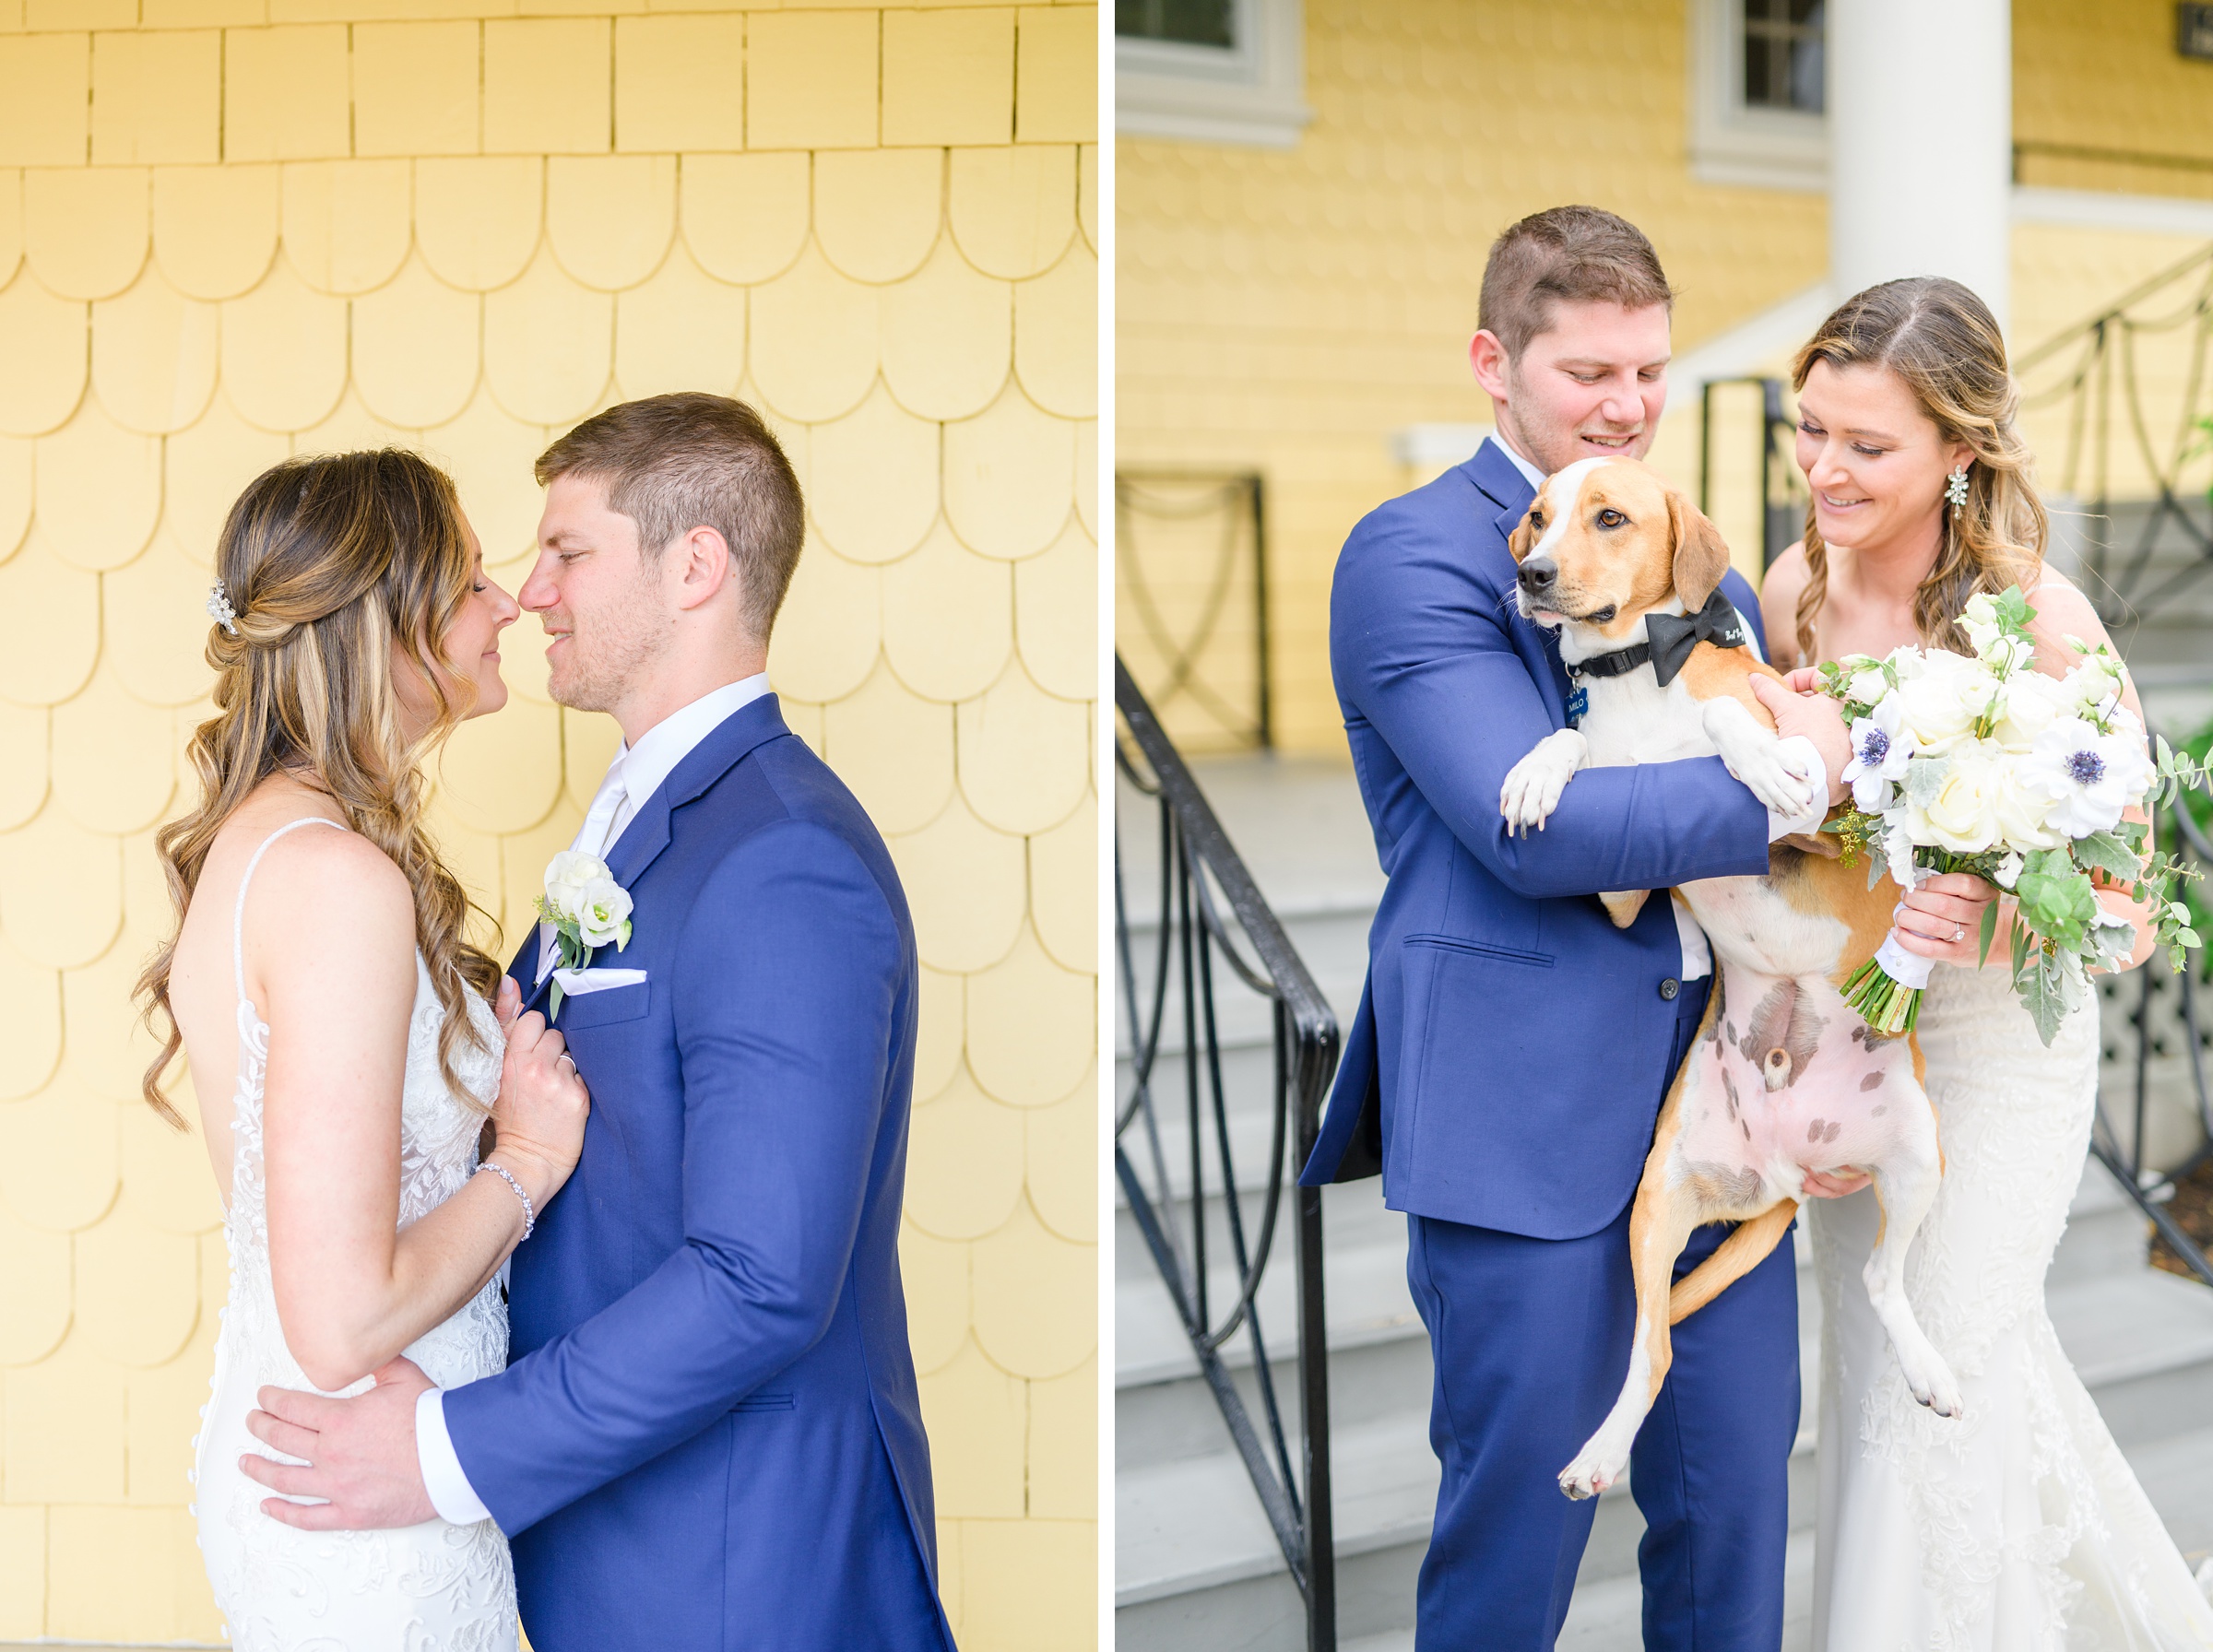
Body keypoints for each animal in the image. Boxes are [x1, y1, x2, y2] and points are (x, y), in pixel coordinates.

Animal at [1496, 457, 1965, 1504]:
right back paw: (1598, 1454)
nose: (1533, 576)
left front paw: (1766, 758)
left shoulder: (1829, 830)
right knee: (1656, 1348)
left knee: (1882, 1280)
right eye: (1537, 518)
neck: (1638, 676)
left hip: (1917, 1151)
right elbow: (1573, 744)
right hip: (1659, 1200)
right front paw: (1538, 767)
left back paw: (1929, 1367)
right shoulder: (1622, 884)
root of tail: (1790, 1172)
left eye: (1610, 517)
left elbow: (1730, 716)